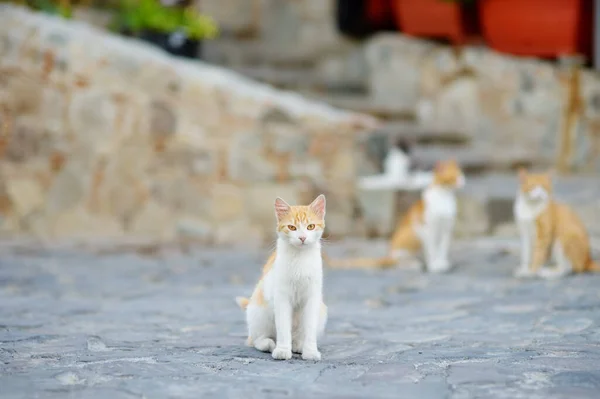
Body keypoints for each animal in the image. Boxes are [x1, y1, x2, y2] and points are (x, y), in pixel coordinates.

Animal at [236, 195, 328, 360]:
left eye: (310, 227)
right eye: (292, 228)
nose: (302, 237)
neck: (299, 257)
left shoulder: (312, 297)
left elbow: (310, 328)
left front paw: (310, 351)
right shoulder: (281, 297)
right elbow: (283, 327)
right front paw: (283, 350)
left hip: (322, 312)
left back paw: (298, 343)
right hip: (259, 311)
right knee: (255, 339)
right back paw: (268, 344)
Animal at [328, 161, 464, 274]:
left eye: (461, 175)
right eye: (454, 177)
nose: (462, 181)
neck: (445, 196)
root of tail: (389, 255)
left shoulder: (447, 229)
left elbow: (442, 249)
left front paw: (442, 263)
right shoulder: (428, 229)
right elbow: (433, 250)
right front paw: (435, 266)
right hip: (406, 242)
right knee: (398, 263)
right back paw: (413, 265)